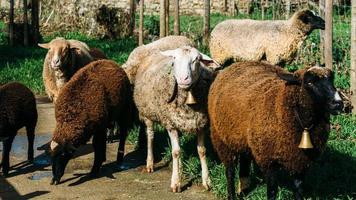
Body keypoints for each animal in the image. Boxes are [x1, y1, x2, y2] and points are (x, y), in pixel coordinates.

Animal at [209, 61, 344, 199]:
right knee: (229, 171)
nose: (338, 103)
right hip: (221, 139)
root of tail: (235, 64)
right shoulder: (269, 159)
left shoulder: (300, 160)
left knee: (244, 161)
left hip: (243, 140)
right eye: (309, 82)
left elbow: (298, 188)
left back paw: (244, 188)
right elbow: (272, 191)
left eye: (331, 80)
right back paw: (232, 194)